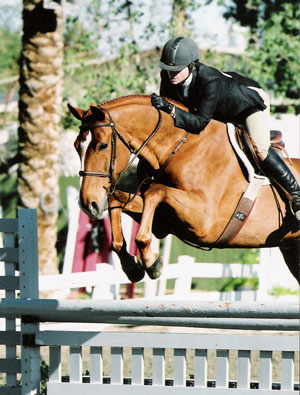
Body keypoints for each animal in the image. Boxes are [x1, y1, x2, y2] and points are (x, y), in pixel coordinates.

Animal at [68, 97, 300, 286]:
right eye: (76, 146)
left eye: (102, 145)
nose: (88, 204)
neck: (180, 147)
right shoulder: (165, 223)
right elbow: (117, 199)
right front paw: (132, 266)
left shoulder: (205, 223)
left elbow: (155, 192)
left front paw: (151, 262)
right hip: (291, 250)